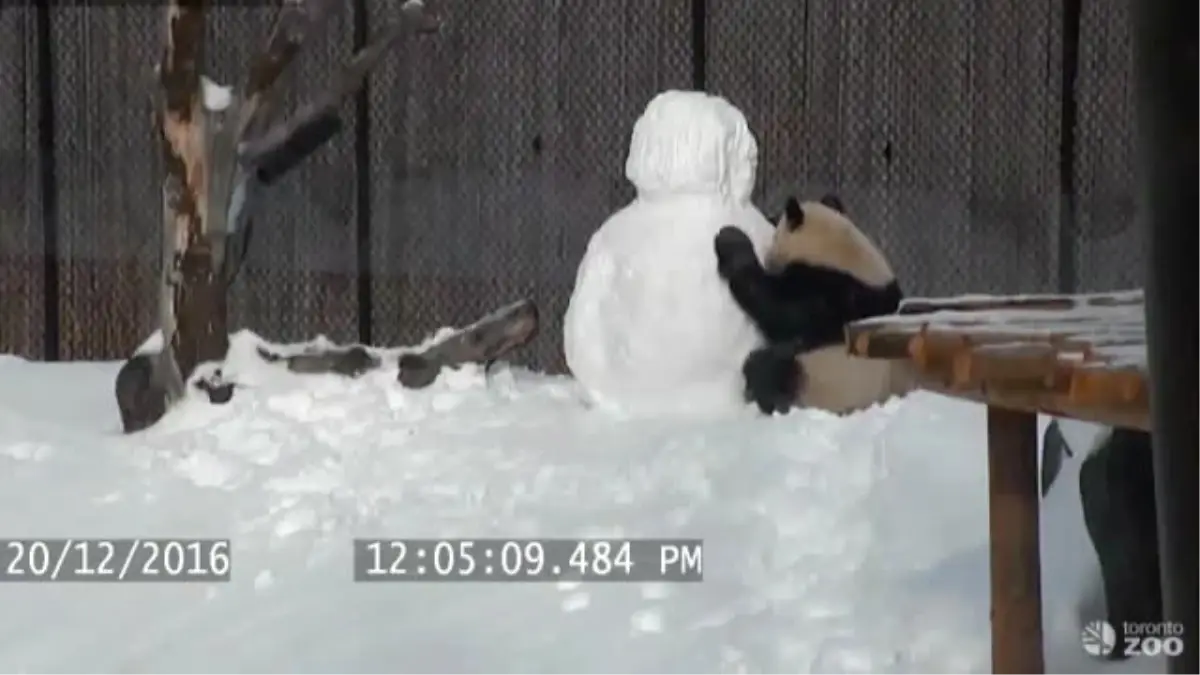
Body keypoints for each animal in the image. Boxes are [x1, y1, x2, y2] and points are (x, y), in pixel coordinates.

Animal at [710, 192, 907, 413]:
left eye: (774, 220)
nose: (767, 216)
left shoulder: (831, 294)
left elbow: (778, 310)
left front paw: (730, 238)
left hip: (822, 377)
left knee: (770, 369)